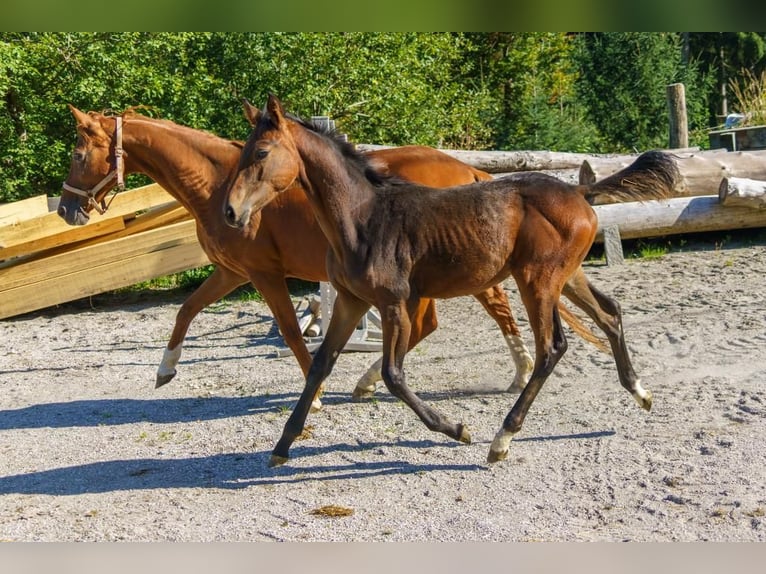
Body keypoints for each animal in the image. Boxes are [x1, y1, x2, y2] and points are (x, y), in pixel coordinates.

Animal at [58, 105, 568, 410]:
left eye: (79, 154)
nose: (65, 210)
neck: (216, 184)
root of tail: (467, 168)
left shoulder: (264, 275)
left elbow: (289, 329)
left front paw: (316, 392)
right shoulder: (231, 273)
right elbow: (186, 309)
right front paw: (165, 369)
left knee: (455, 317)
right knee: (475, 313)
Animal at [223, 95, 679, 466]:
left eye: (261, 152)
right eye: (243, 152)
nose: (230, 212)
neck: (363, 218)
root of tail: (580, 193)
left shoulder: (393, 303)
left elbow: (393, 373)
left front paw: (457, 430)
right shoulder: (353, 301)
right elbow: (320, 364)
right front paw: (282, 446)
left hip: (537, 280)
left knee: (552, 347)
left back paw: (502, 438)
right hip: (566, 276)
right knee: (610, 313)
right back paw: (640, 392)